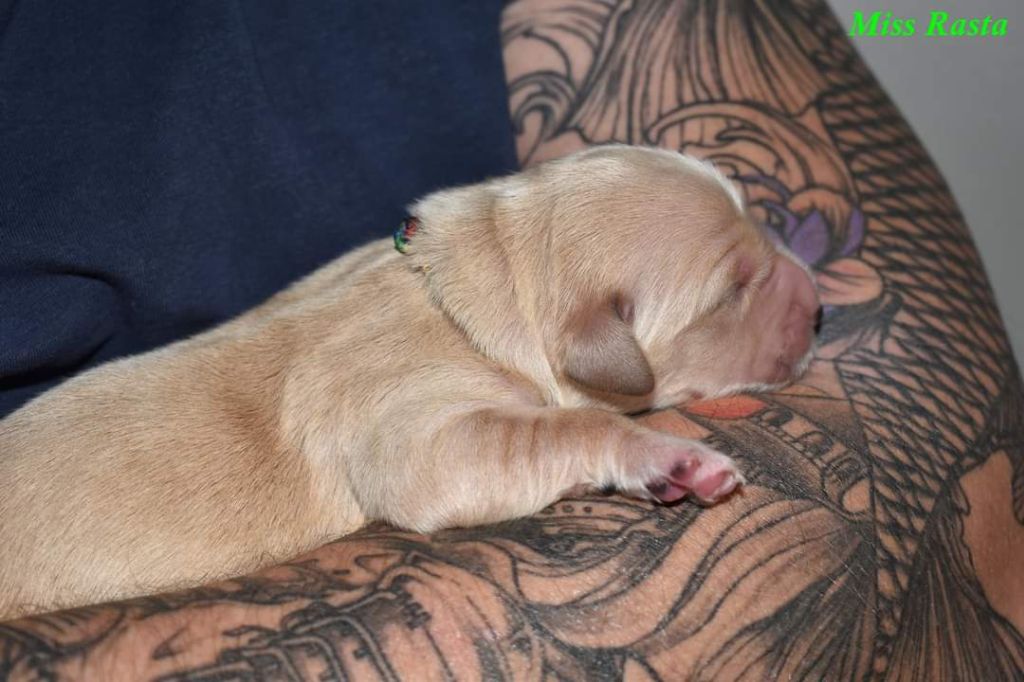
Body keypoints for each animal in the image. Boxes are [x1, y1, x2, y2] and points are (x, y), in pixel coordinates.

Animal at [0, 145, 820, 618]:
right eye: (732, 292)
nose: (820, 310)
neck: (471, 286)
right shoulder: (419, 440)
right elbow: (573, 425)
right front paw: (669, 460)